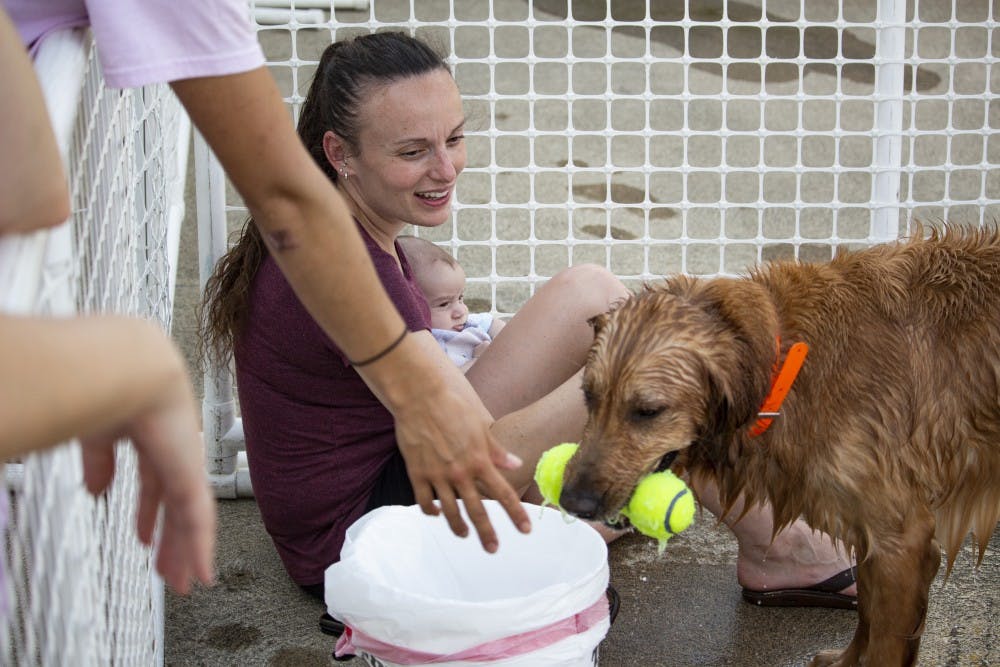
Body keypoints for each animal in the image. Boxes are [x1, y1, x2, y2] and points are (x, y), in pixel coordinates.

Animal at [559, 224, 1000, 666]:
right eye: (589, 397)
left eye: (648, 411)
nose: (572, 502)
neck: (786, 360)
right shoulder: (867, 526)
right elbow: (868, 612)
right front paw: (846, 660)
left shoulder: (902, 539)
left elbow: (883, 640)